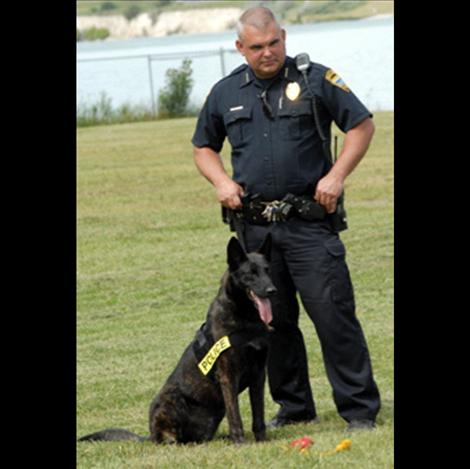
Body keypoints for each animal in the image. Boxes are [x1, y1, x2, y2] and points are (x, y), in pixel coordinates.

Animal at [78, 236, 276, 444]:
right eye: (250, 273)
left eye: (267, 270)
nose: (272, 290)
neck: (246, 318)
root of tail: (148, 436)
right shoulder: (228, 376)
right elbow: (235, 416)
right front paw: (240, 443)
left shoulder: (259, 374)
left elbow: (258, 414)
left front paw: (261, 441)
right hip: (171, 399)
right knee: (168, 438)